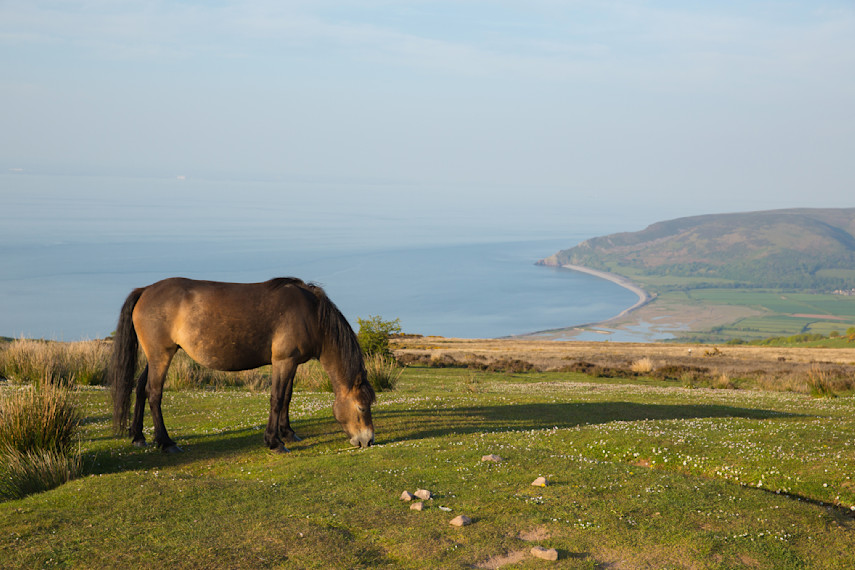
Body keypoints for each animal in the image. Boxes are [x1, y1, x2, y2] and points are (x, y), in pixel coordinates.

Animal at [107, 276, 374, 452]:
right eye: (362, 407)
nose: (369, 440)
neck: (310, 314)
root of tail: (145, 290)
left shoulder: (293, 363)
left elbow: (287, 397)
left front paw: (288, 433)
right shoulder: (283, 361)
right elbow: (277, 399)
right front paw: (274, 442)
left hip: (153, 357)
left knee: (140, 389)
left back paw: (138, 436)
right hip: (161, 355)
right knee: (154, 393)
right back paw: (166, 442)